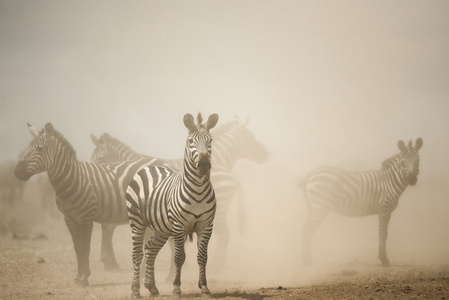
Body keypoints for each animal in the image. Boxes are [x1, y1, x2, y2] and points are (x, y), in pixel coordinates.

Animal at [14, 122, 164, 286]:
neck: (73, 179)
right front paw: (78, 277)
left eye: (40, 149)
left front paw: (84, 277)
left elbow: (85, 248)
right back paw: (144, 275)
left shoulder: (86, 217)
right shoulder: (69, 218)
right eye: (27, 148)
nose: (17, 172)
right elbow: (78, 248)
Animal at [125, 112, 218, 298]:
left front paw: (204, 287)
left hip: (161, 228)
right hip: (137, 221)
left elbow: (202, 257)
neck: (198, 191)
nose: (204, 165)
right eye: (190, 141)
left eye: (210, 140)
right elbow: (179, 257)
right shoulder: (179, 226)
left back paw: (152, 287)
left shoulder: (206, 226)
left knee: (150, 250)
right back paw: (135, 290)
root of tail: (149, 167)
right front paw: (176, 288)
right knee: (137, 254)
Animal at [300, 137, 422, 266]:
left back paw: (305, 259)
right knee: (308, 230)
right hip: (320, 206)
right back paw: (307, 261)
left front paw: (383, 258)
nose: (412, 179)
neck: (389, 182)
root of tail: (311, 174)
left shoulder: (385, 211)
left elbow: (384, 234)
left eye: (418, 161)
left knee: (304, 229)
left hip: (312, 207)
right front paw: (384, 259)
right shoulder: (384, 210)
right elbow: (383, 234)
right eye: (404, 162)